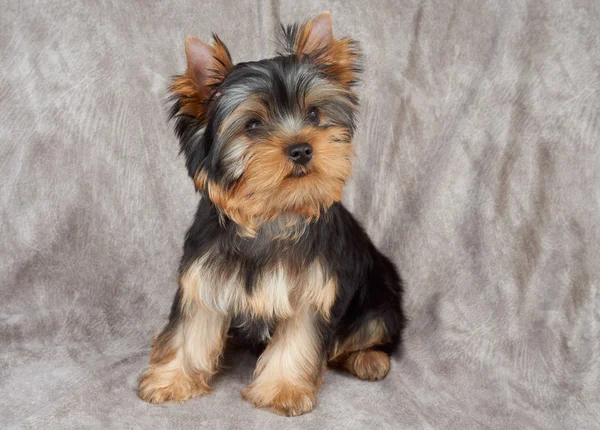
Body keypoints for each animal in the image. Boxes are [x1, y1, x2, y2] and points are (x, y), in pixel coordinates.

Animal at [138, 11, 406, 414]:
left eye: (314, 113)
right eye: (253, 125)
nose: (302, 148)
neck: (272, 215)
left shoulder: (314, 288)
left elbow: (299, 338)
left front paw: (282, 389)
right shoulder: (205, 276)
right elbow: (191, 327)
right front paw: (172, 378)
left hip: (381, 296)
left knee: (370, 332)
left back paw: (368, 359)